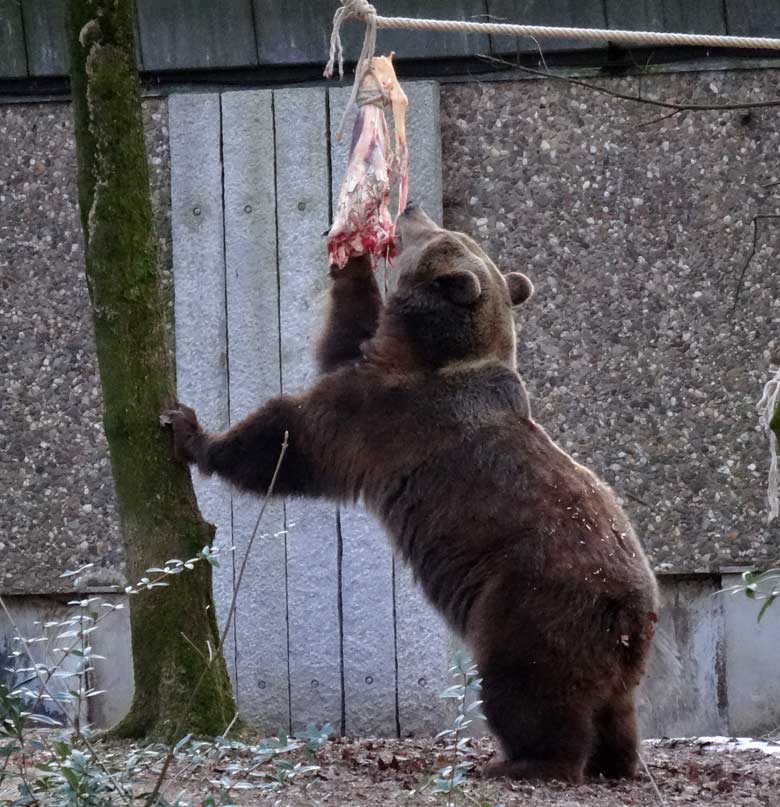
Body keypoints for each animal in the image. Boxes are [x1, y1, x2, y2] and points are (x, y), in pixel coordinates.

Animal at [166, 207, 660, 784]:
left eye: (437, 236)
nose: (410, 209)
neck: (435, 354)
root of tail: (632, 610)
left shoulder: (389, 418)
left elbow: (292, 437)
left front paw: (193, 432)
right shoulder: (380, 370)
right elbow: (345, 338)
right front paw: (350, 253)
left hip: (532, 600)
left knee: (522, 684)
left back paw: (522, 762)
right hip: (618, 649)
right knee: (616, 710)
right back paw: (614, 761)